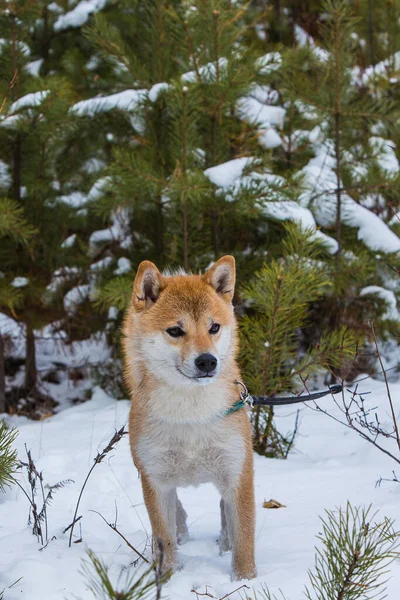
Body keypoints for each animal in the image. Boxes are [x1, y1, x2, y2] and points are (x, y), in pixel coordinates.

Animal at [122, 255, 256, 580]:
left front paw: (246, 581)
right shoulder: (156, 481)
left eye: (214, 327)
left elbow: (244, 539)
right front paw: (167, 579)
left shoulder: (238, 473)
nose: (207, 361)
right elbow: (164, 538)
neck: (191, 415)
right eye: (175, 331)